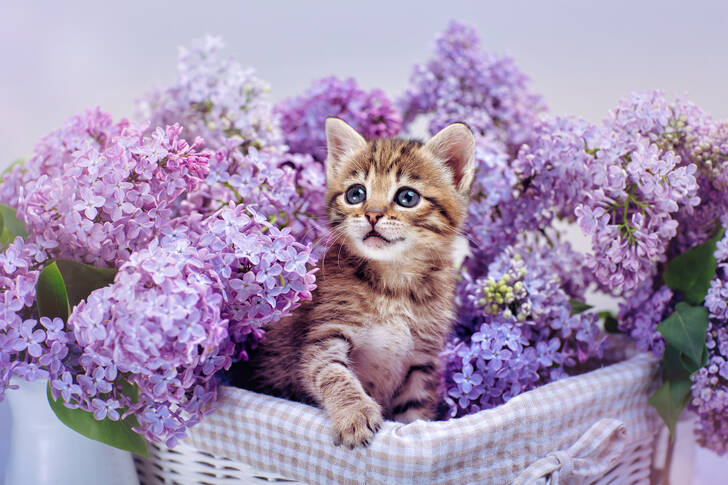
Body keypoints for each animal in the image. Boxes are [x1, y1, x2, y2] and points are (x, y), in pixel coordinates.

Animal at [245, 117, 474, 446]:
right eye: (356, 194)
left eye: (407, 197)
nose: (373, 214)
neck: (394, 285)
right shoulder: (325, 334)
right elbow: (331, 372)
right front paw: (355, 414)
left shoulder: (422, 359)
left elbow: (414, 411)